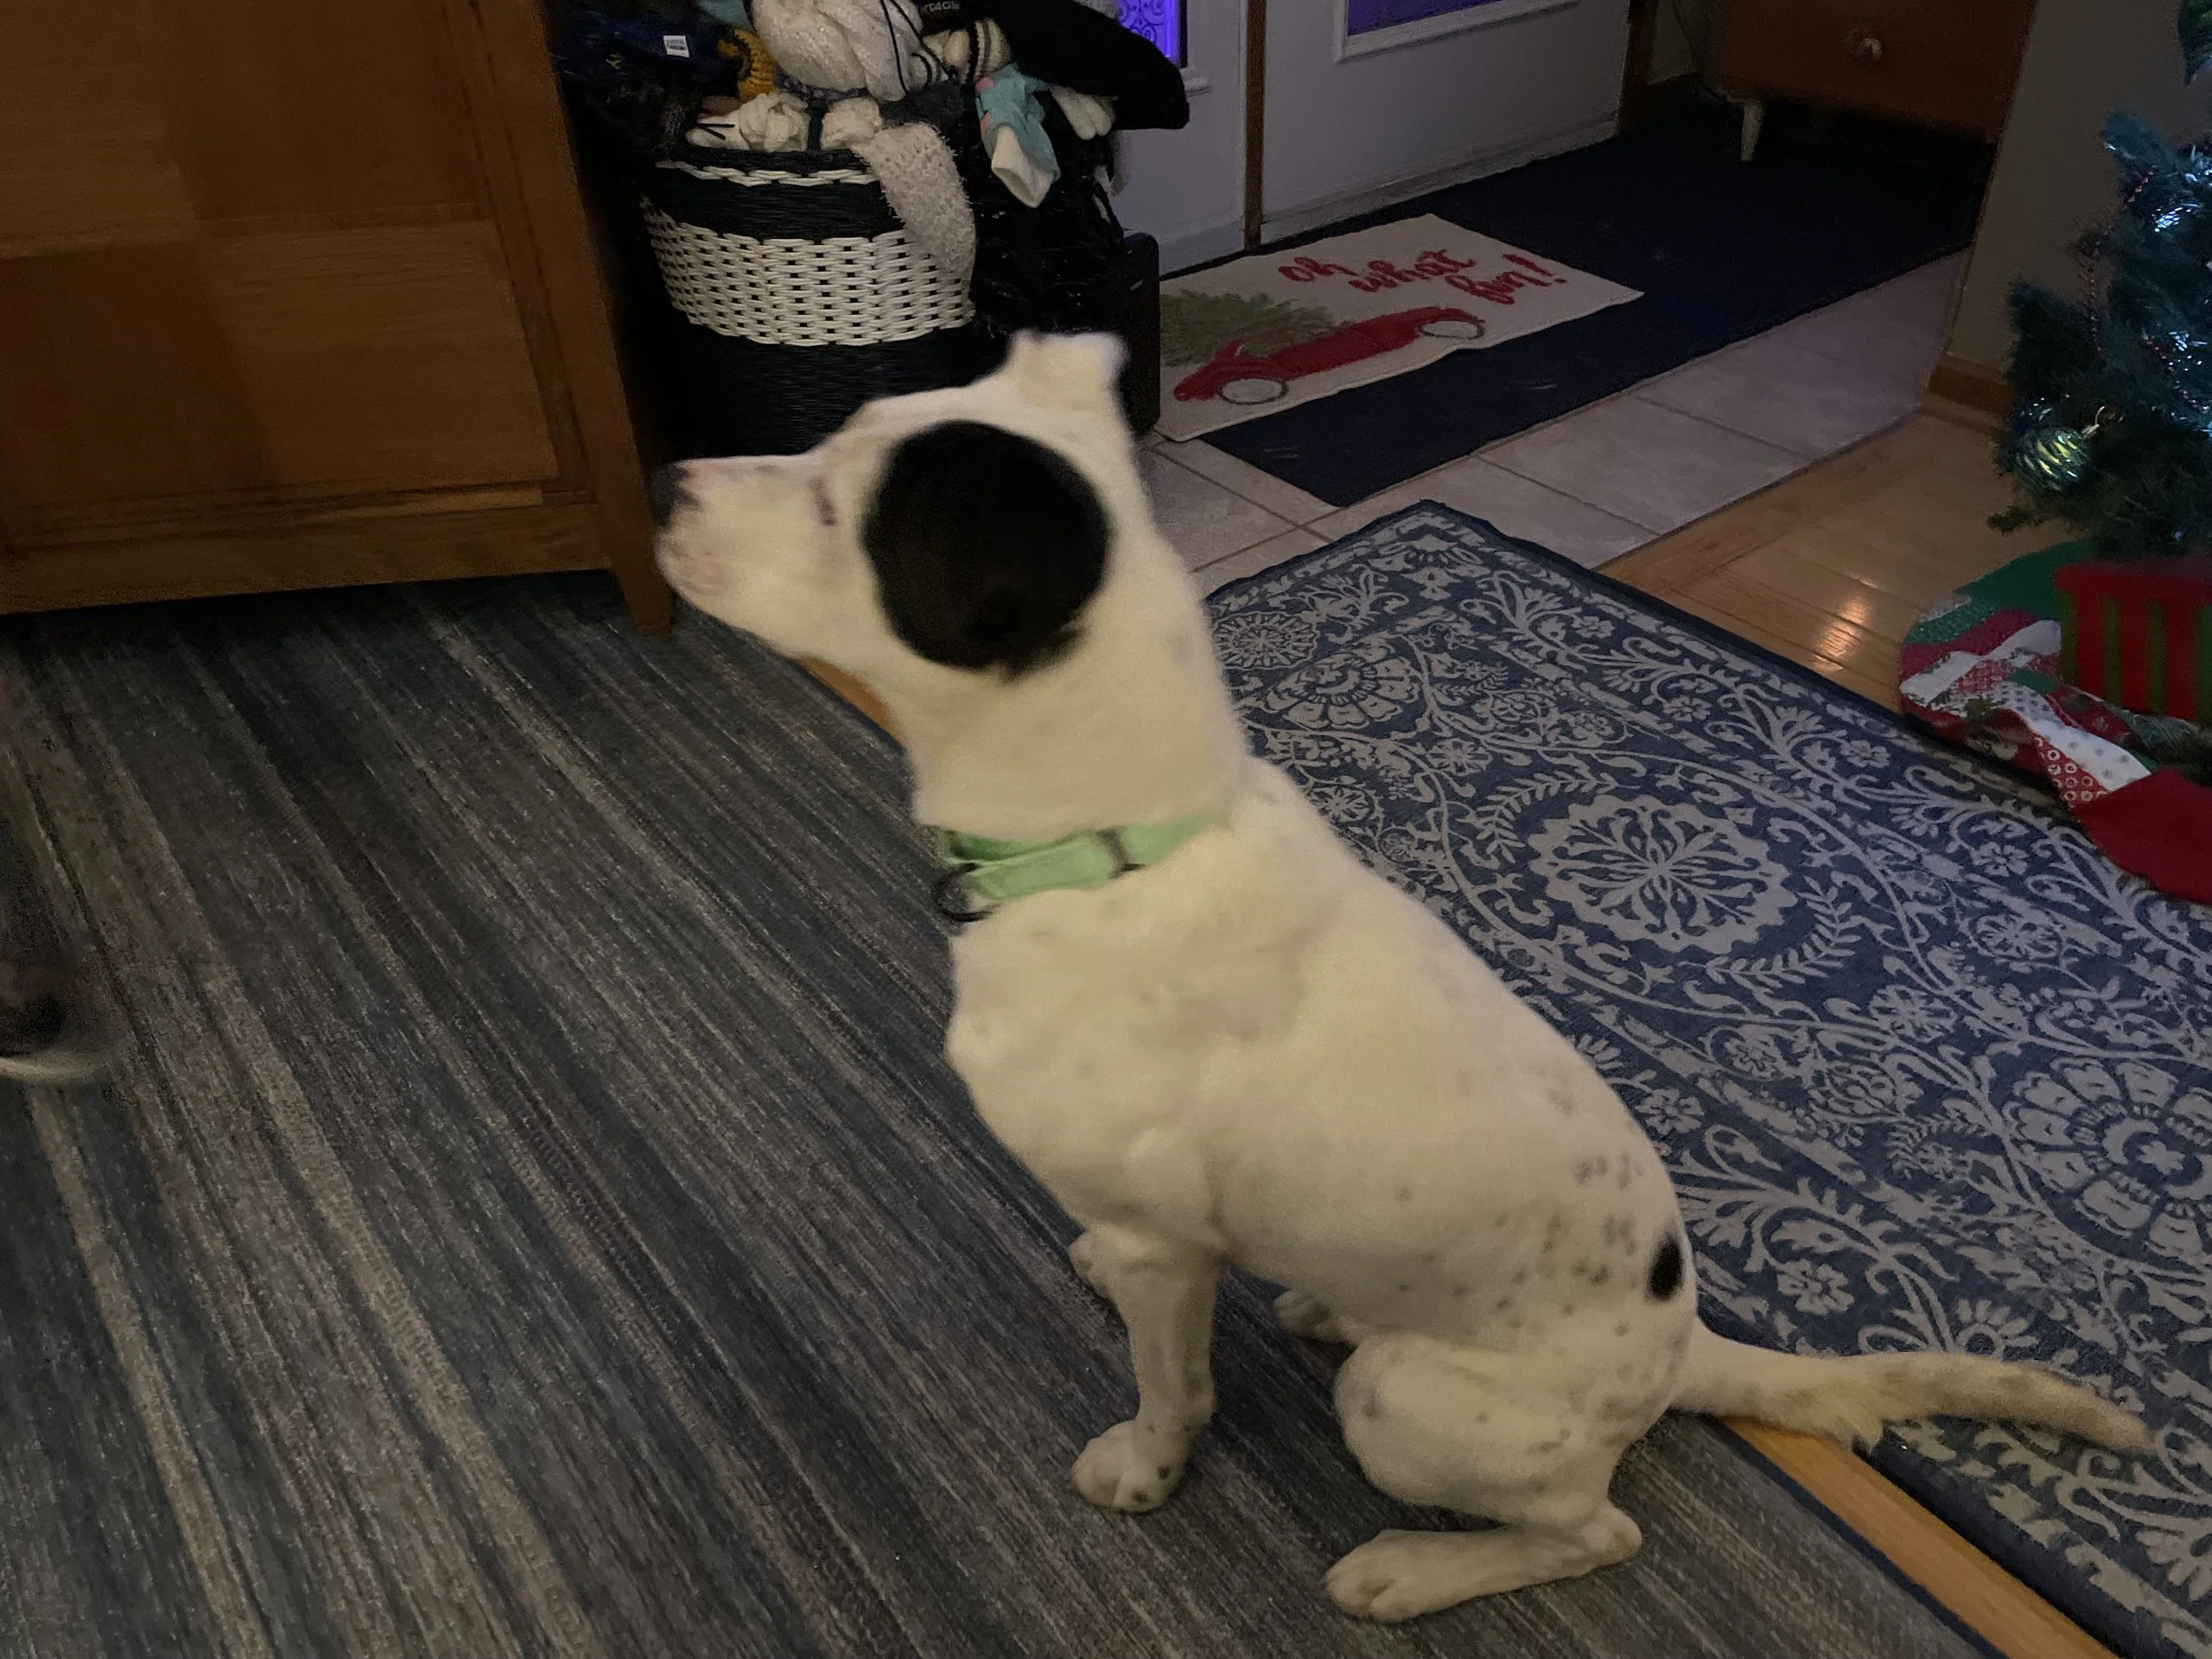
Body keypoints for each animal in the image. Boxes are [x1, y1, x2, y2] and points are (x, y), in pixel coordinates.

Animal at [653, 333, 2151, 1621]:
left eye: (838, 507)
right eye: (831, 436)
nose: (668, 481)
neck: (1115, 841)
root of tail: (1682, 1350)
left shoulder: (1164, 1251)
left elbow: (1172, 1388)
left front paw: (1145, 1466)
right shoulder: (1156, 1240)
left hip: (1407, 1407)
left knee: (1596, 1529)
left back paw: (1412, 1569)